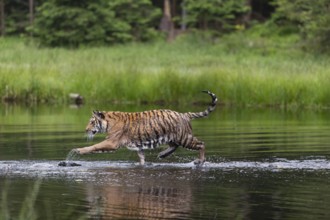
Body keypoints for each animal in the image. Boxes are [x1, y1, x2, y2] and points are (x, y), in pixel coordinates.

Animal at [72, 90, 217, 165]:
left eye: (92, 122)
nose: (86, 130)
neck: (108, 122)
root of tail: (184, 114)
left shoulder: (112, 142)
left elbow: (95, 146)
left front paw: (78, 150)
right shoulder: (139, 146)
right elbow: (141, 157)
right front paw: (142, 164)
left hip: (184, 137)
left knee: (201, 144)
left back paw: (200, 161)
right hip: (173, 137)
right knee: (174, 145)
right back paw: (162, 154)